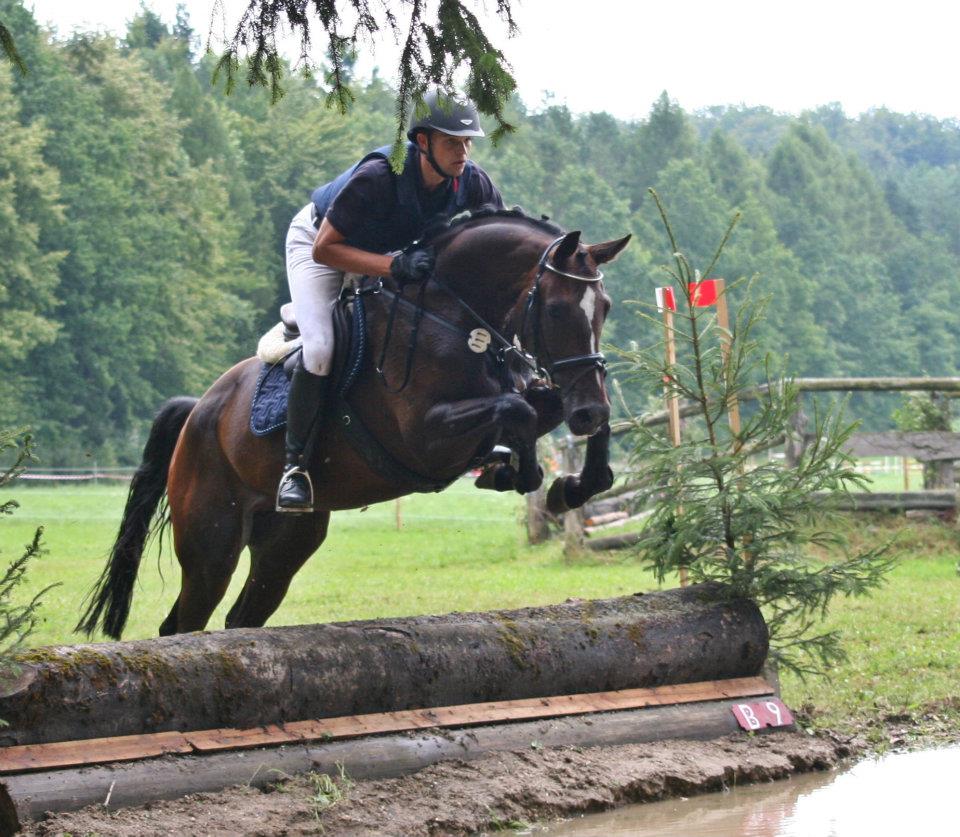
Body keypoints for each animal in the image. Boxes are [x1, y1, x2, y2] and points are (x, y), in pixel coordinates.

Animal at [80, 211, 632, 640]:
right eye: (556, 309)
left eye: (605, 308)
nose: (588, 410)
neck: (451, 318)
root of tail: (199, 413)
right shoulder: (424, 438)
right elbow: (516, 412)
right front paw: (522, 472)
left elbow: (544, 414)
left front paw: (571, 484)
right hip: (211, 543)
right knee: (185, 623)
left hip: (286, 542)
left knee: (241, 617)